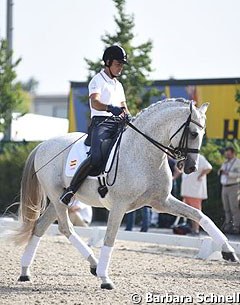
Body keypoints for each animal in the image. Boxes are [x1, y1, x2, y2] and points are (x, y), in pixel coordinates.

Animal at [11, 98, 238, 288]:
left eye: (202, 133)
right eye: (193, 133)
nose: (191, 167)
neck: (145, 154)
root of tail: (42, 145)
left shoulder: (161, 202)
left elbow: (199, 214)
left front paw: (228, 251)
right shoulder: (119, 206)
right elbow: (110, 238)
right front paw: (105, 279)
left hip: (61, 199)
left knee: (40, 227)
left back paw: (25, 271)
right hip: (59, 197)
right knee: (66, 228)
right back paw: (94, 266)